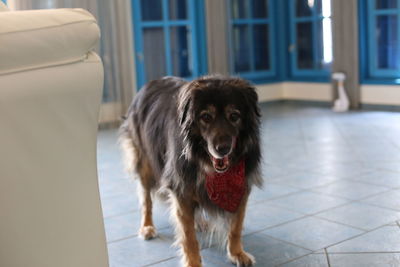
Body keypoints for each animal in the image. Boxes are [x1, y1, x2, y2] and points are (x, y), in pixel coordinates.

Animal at [119, 75, 262, 267]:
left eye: (234, 116)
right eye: (206, 117)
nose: (223, 149)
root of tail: (151, 83)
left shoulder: (242, 186)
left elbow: (235, 227)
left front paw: (237, 253)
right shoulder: (180, 188)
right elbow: (188, 237)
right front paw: (193, 262)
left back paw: (199, 222)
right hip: (145, 164)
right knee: (146, 199)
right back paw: (147, 227)